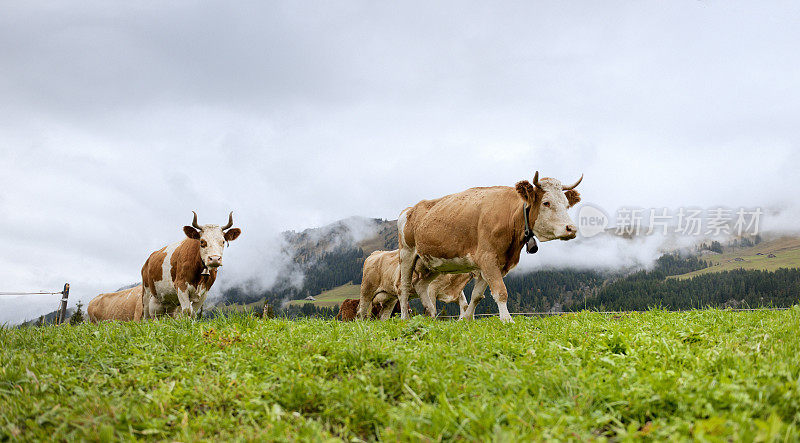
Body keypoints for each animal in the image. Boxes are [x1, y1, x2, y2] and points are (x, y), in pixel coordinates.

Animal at [396, 173, 580, 322]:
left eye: (566, 204)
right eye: (546, 203)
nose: (571, 228)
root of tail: (410, 209)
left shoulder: (495, 263)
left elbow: (477, 295)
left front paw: (466, 319)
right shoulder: (487, 257)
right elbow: (500, 292)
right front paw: (507, 320)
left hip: (432, 262)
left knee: (420, 284)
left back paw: (431, 314)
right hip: (407, 253)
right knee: (404, 286)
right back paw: (405, 317)